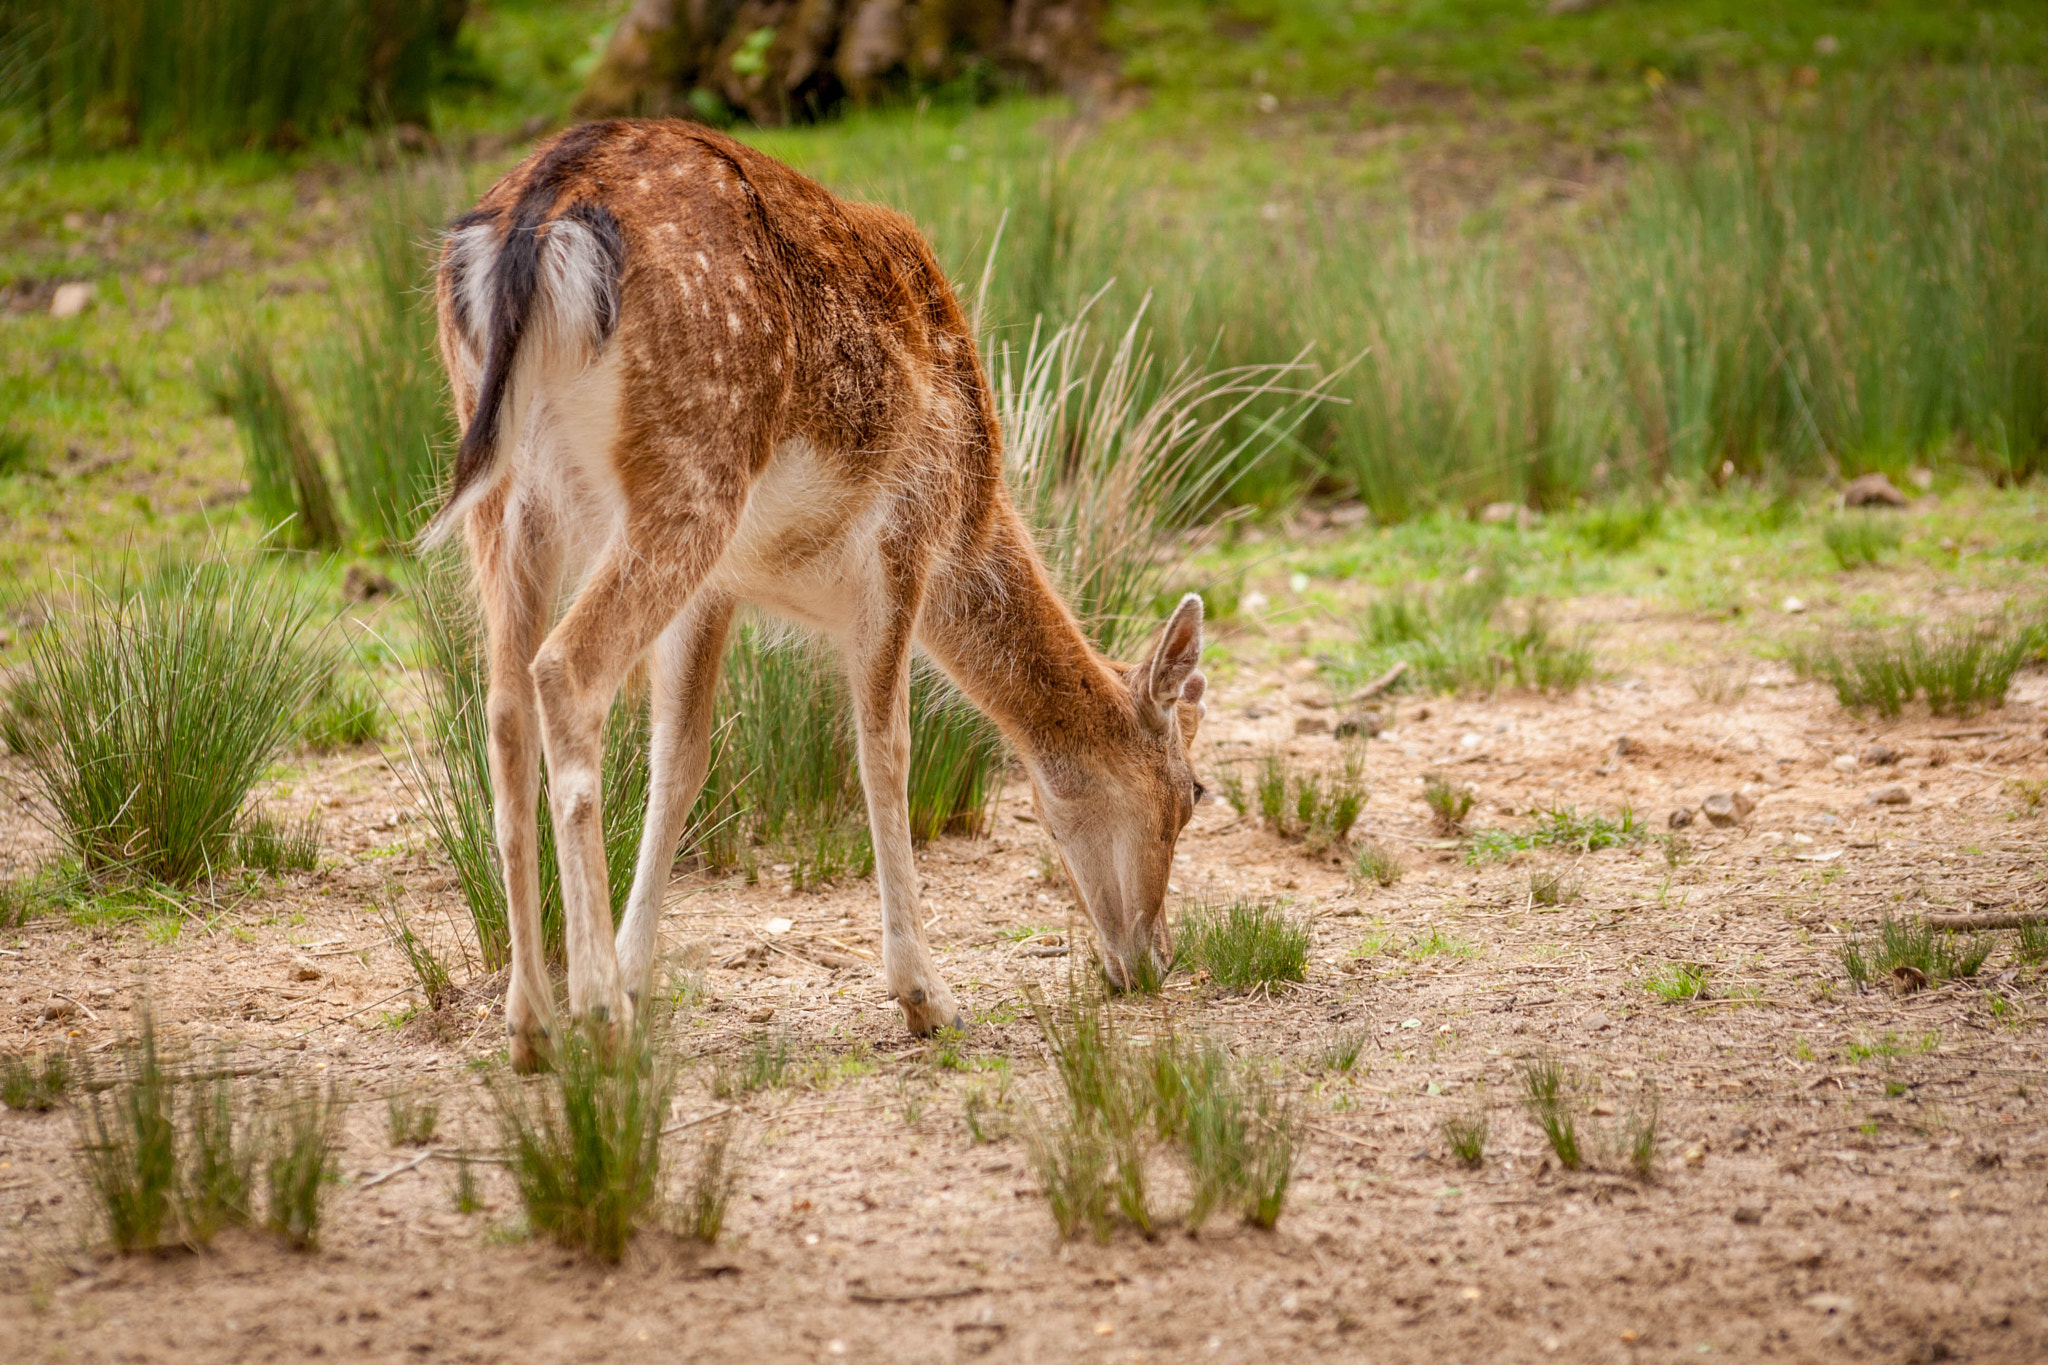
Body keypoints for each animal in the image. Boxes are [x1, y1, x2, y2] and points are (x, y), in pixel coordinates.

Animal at [426, 120, 1208, 1071]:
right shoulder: (902, 540)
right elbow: (885, 749)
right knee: (566, 672)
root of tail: (537, 213)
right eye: (1194, 792)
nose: (1154, 959)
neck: (973, 519)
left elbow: (681, 761)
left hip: (508, 494)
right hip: (692, 470)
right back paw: (596, 1015)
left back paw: (533, 1024)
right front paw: (926, 996)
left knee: (502, 710)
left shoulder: (719, 589)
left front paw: (640, 975)